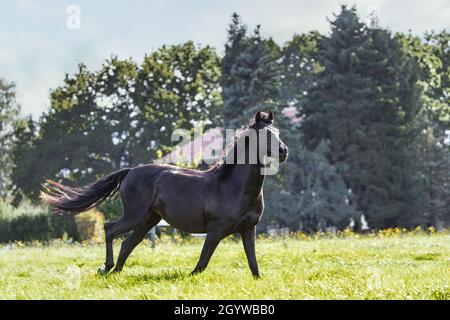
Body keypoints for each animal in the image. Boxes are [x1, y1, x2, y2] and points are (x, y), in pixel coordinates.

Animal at [41, 110, 288, 278]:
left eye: (277, 132)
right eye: (265, 135)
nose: (284, 151)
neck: (233, 187)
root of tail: (130, 171)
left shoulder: (248, 229)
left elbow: (254, 265)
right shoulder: (216, 231)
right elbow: (201, 264)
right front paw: (189, 277)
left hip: (149, 219)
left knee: (127, 243)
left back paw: (116, 272)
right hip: (136, 216)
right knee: (110, 229)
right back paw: (107, 267)